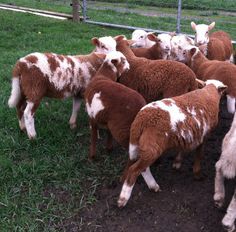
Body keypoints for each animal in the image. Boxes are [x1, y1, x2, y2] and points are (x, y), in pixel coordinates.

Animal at [118, 79, 227, 207]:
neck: (209, 92)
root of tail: (141, 120)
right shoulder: (204, 135)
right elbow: (199, 154)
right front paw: (197, 174)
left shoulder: (189, 133)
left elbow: (184, 148)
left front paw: (177, 163)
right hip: (152, 148)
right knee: (134, 170)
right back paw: (123, 199)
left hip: (139, 145)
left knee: (141, 168)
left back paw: (152, 186)